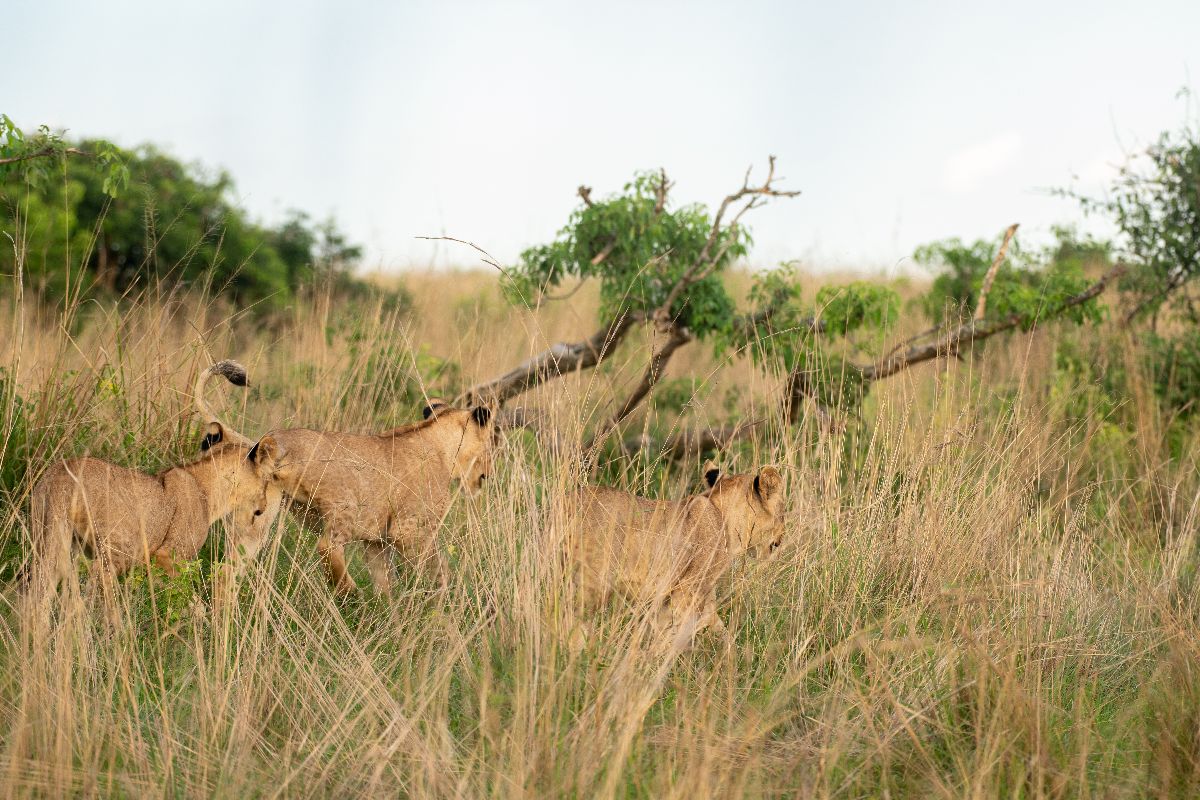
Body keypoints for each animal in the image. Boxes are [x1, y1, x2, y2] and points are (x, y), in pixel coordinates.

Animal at [28, 362, 283, 594]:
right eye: (268, 481)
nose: (263, 507)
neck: (207, 484)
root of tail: (58, 476)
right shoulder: (168, 554)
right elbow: (187, 598)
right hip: (116, 549)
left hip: (51, 542)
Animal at [194, 371, 494, 594]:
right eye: (493, 440)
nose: (489, 473)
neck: (440, 441)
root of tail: (272, 439)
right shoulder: (410, 531)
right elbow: (440, 570)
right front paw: (447, 603)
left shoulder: (377, 543)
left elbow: (386, 586)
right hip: (346, 503)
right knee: (327, 546)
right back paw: (350, 594)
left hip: (256, 519)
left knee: (225, 573)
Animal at [559, 465, 787, 647]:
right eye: (783, 513)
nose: (783, 536)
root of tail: (564, 504)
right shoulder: (688, 590)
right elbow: (676, 635)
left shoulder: (690, 596)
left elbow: (718, 630)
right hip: (591, 582)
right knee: (574, 625)